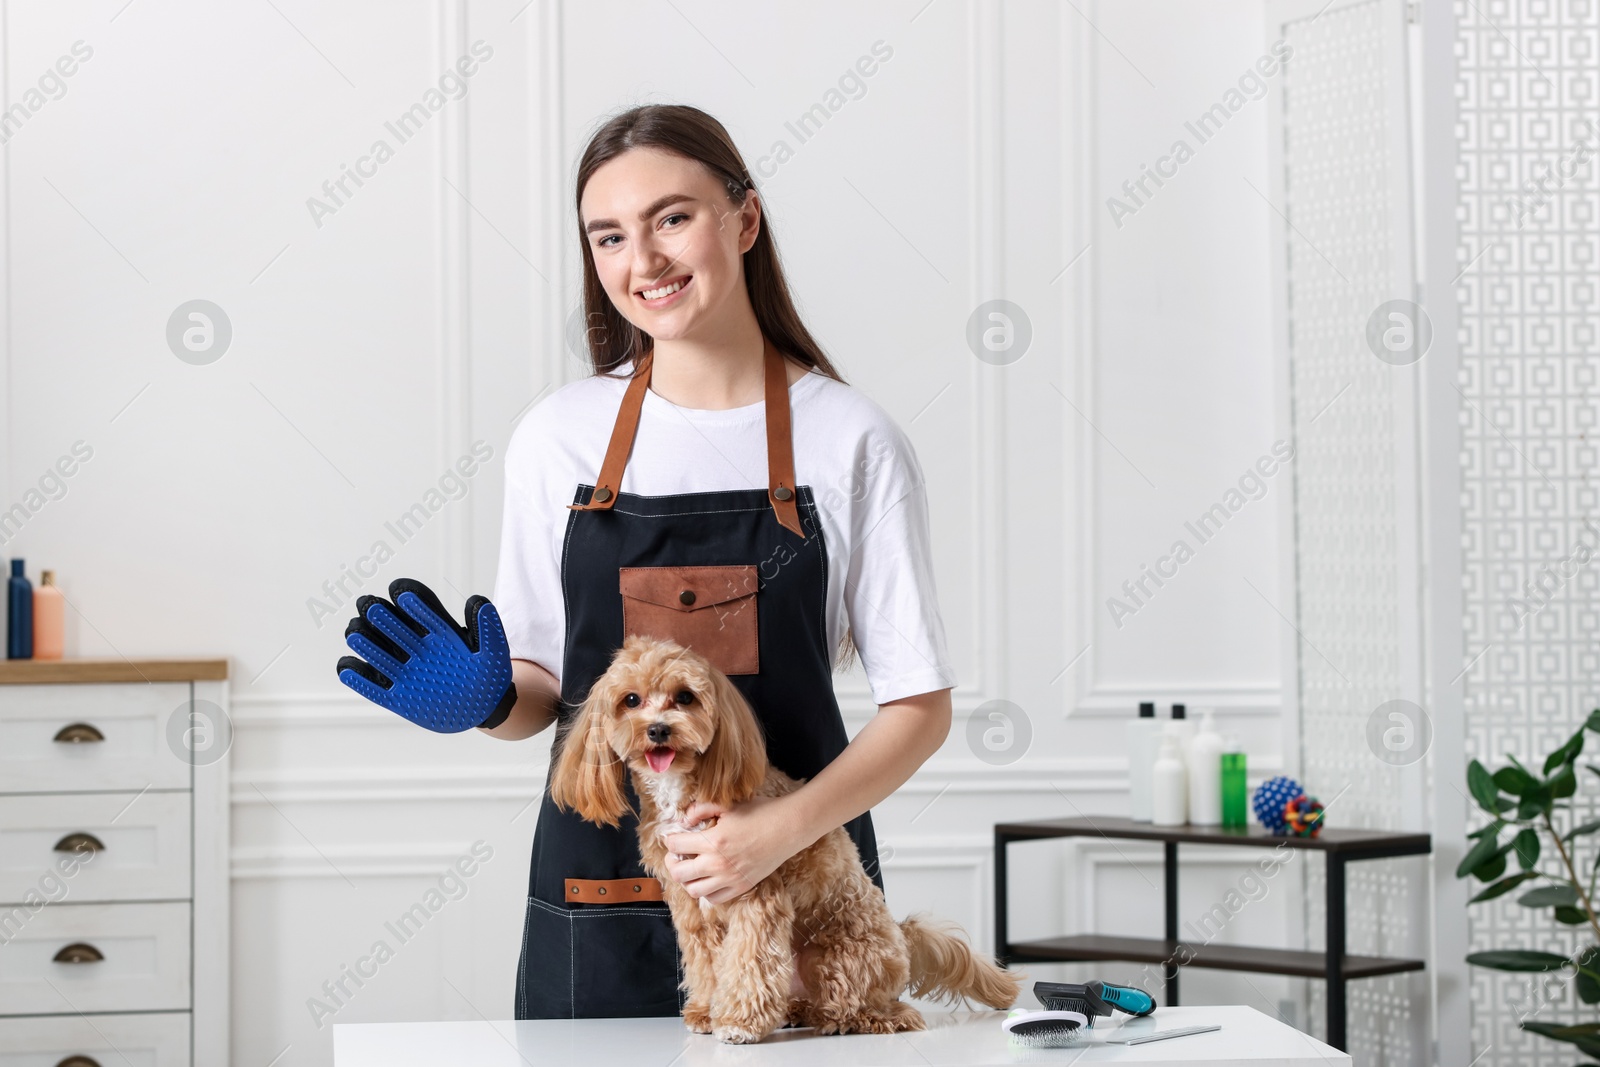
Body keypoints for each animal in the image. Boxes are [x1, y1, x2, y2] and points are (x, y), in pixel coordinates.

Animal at [553, 633, 1024, 1043]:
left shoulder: (755, 897)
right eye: (631, 700)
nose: (657, 730)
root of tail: (902, 941)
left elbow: (750, 962)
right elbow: (706, 964)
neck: (683, 791)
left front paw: (739, 1023)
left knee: (882, 1010)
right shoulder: (690, 905)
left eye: (684, 697)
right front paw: (706, 1010)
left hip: (835, 959)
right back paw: (795, 1010)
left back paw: (839, 1017)